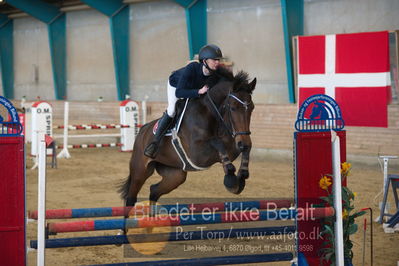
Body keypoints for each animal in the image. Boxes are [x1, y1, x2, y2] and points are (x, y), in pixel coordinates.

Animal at [118, 67, 256, 209]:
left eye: (252, 108)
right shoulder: (198, 154)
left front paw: (241, 176)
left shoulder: (232, 145)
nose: (243, 142)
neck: (210, 113)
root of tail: (142, 130)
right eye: (233, 108)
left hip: (175, 175)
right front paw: (230, 179)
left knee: (154, 190)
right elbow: (217, 143)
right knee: (131, 197)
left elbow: (244, 149)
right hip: (140, 171)